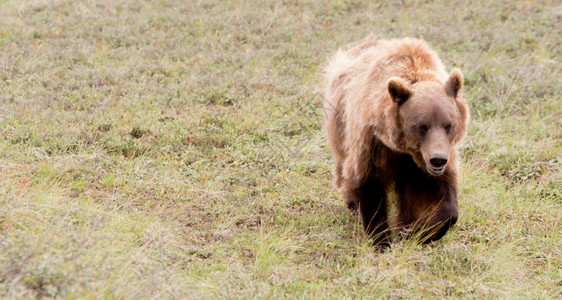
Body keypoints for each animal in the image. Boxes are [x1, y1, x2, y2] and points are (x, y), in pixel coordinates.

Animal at [322, 36, 466, 245]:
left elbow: (444, 194)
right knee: (344, 165)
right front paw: (382, 239)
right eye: (421, 126)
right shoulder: (374, 143)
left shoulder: (433, 158)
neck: (406, 150)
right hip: (340, 122)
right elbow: (368, 183)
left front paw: (415, 231)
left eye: (448, 125)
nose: (438, 159)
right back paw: (352, 203)